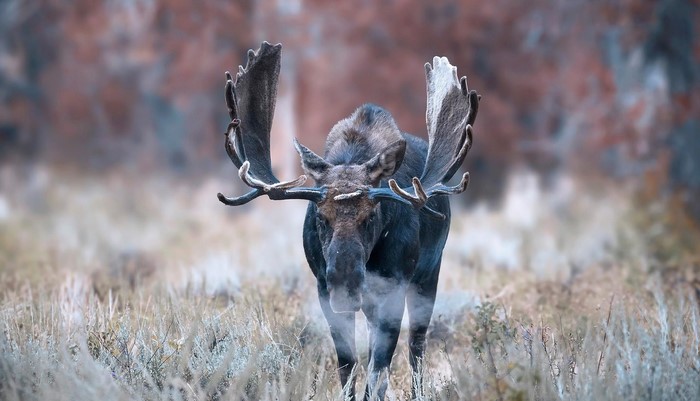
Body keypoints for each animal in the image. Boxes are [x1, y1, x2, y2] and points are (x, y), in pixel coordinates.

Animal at [217, 42, 479, 400]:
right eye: (320, 217)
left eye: (372, 216)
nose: (345, 281)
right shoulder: (323, 290)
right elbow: (348, 365)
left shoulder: (394, 288)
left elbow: (379, 369)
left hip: (428, 275)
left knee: (416, 346)